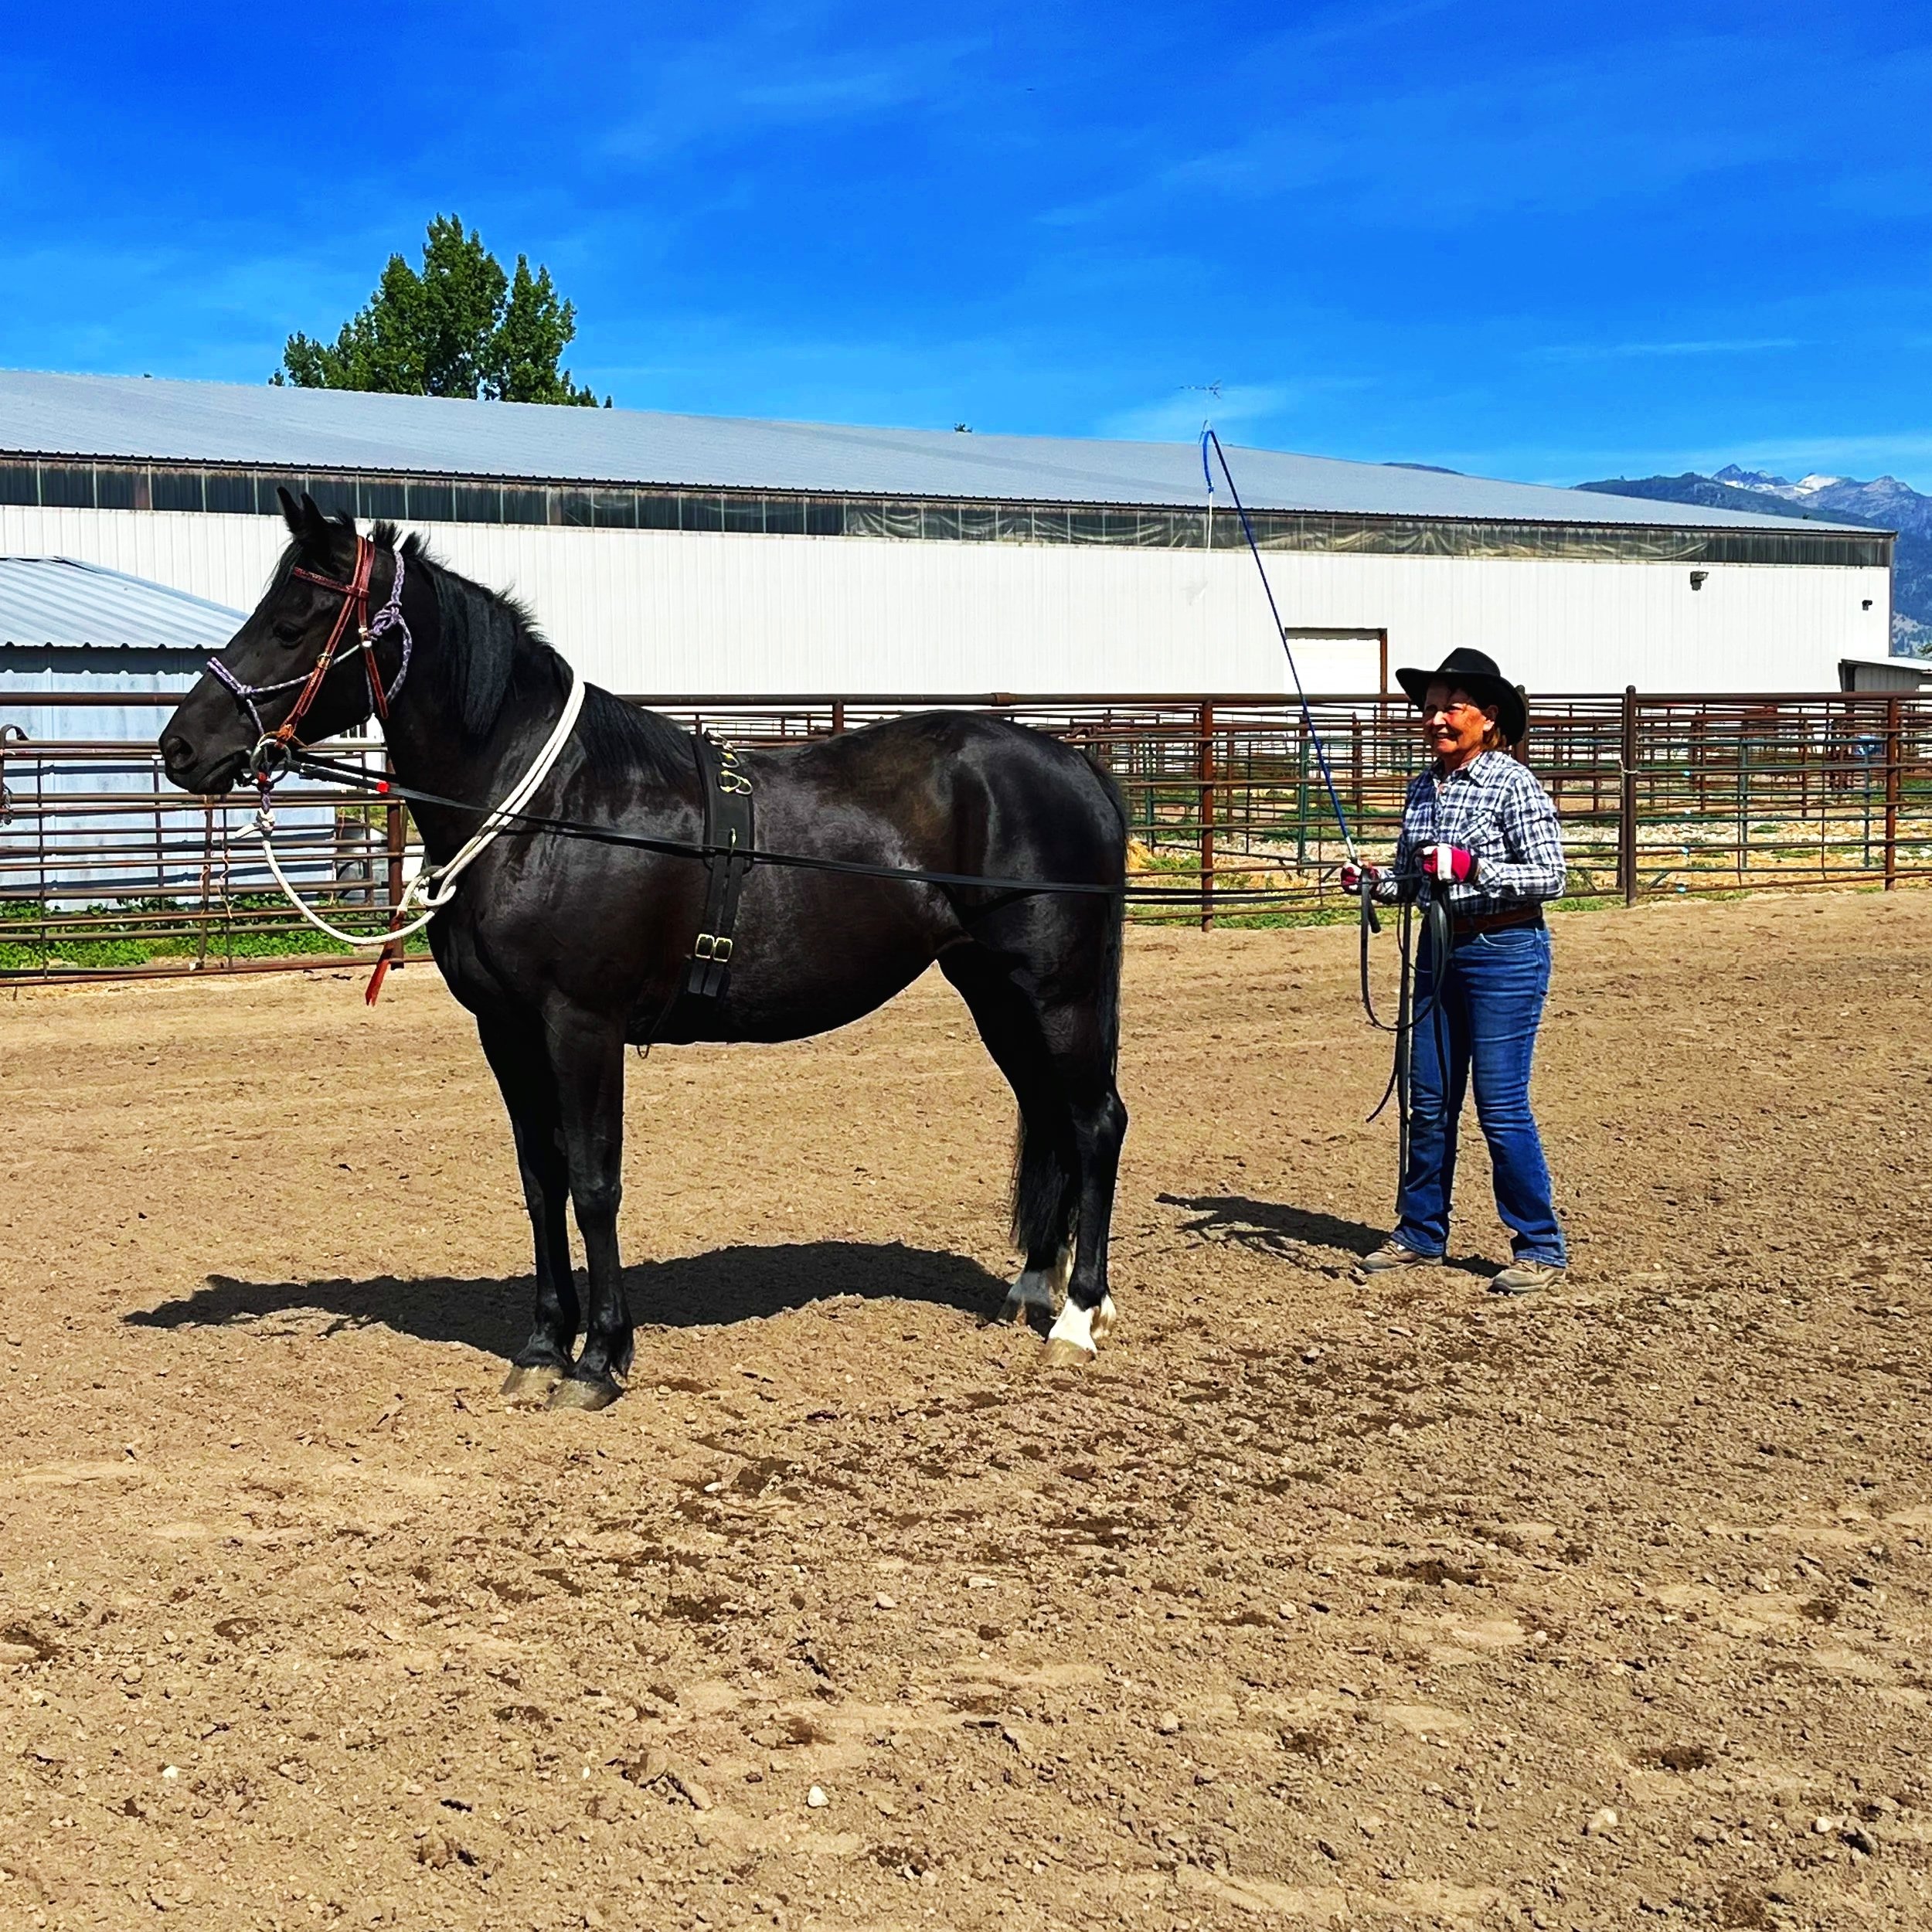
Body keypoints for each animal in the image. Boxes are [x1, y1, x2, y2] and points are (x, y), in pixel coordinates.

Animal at [158, 492, 1129, 1410]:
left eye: (292, 623)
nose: (181, 745)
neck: (548, 809)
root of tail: (1076, 767)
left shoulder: (582, 1027)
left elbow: (594, 1182)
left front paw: (599, 1359)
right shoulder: (507, 1031)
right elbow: (541, 1180)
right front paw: (541, 1349)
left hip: (1057, 993)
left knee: (1095, 1122)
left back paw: (1078, 1315)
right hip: (994, 991)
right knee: (1048, 1113)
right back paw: (1031, 1289)